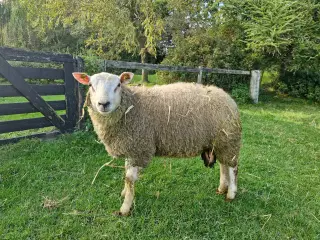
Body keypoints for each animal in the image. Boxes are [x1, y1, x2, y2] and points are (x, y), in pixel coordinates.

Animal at [72, 71, 241, 216]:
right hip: (220, 143)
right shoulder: (131, 147)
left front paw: (125, 208)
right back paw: (222, 188)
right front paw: (125, 193)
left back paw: (231, 194)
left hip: (229, 140)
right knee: (223, 165)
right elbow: (126, 174)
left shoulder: (140, 149)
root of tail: (227, 97)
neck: (131, 107)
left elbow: (129, 178)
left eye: (118, 85)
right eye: (90, 85)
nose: (103, 104)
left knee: (232, 168)